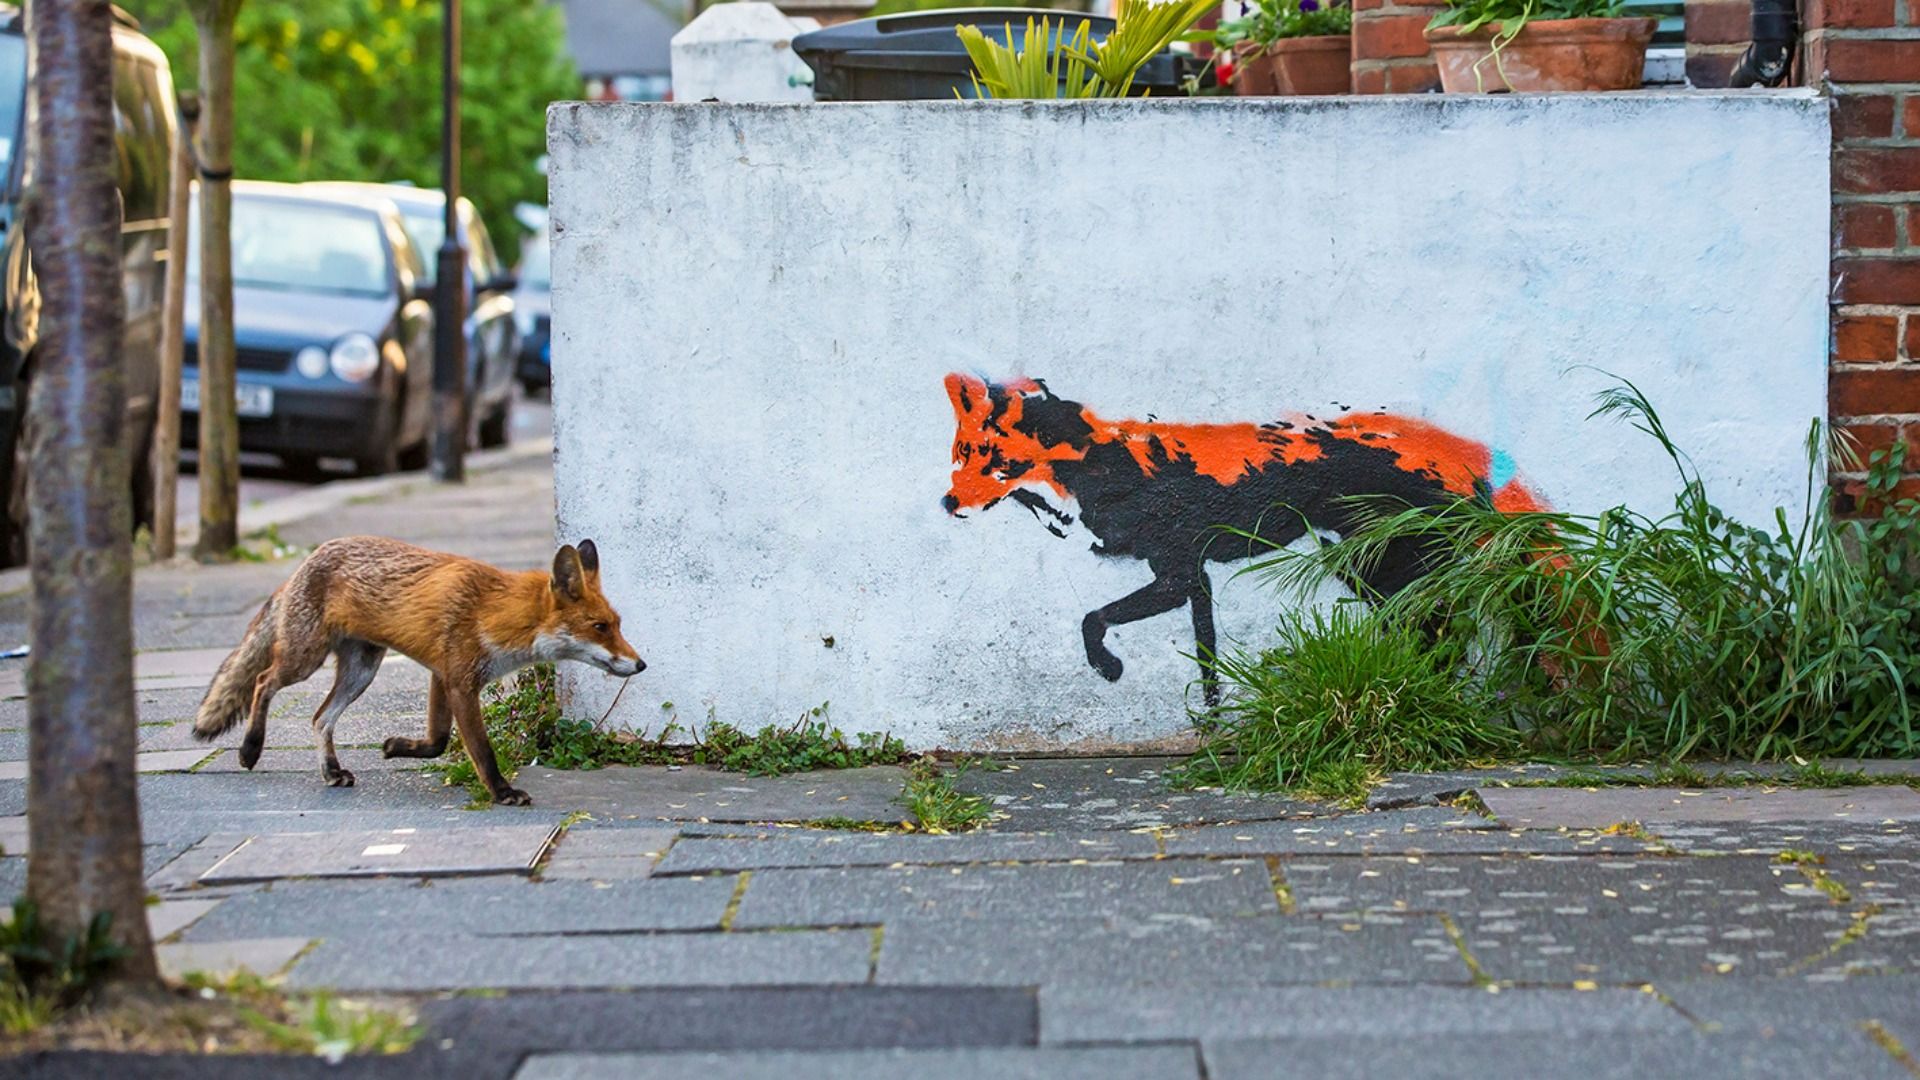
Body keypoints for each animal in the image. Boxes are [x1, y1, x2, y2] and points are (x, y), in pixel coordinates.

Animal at [191, 536, 644, 806]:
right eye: (600, 627)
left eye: (619, 624)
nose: (641, 664)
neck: (493, 613)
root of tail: (308, 559)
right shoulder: (459, 681)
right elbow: (481, 751)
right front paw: (502, 792)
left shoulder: (441, 676)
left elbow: (439, 742)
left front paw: (396, 747)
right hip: (305, 658)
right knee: (263, 682)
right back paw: (251, 748)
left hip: (361, 672)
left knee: (320, 718)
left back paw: (331, 772)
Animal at [941, 373, 1544, 705]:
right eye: (962, 454)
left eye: (994, 460)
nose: (947, 504)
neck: (1101, 467)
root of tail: (1459, 461)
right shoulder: (1195, 581)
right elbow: (1207, 659)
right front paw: (1212, 721)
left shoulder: (1177, 573)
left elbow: (1093, 619)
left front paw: (1108, 668)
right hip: (1361, 568)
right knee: (1430, 626)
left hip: (1375, 568)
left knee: (1441, 626)